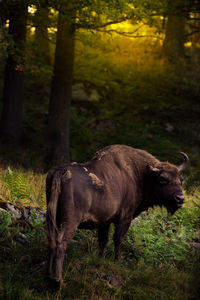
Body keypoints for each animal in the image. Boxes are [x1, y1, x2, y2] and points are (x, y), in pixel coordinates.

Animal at [45, 145, 189, 284]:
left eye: (181, 179)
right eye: (163, 179)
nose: (180, 198)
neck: (139, 175)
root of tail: (61, 171)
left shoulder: (104, 221)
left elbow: (103, 241)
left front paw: (101, 260)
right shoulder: (125, 218)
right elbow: (118, 239)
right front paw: (118, 262)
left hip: (53, 216)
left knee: (51, 239)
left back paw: (48, 274)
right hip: (71, 220)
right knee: (61, 241)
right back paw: (57, 279)